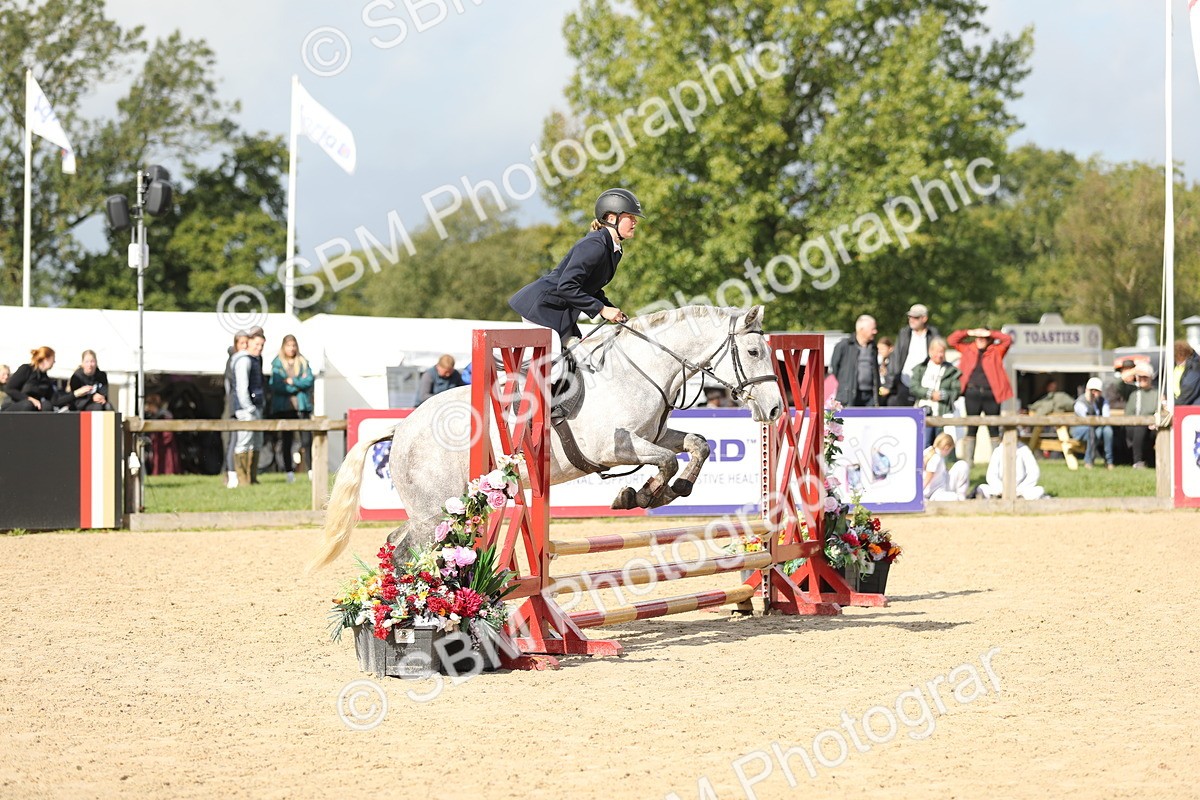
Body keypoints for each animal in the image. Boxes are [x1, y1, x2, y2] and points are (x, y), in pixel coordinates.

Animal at [308, 305, 784, 571]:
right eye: (754, 351)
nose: (776, 410)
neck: (641, 369)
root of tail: (402, 427)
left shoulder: (657, 433)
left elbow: (697, 445)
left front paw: (672, 490)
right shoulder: (614, 447)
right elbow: (663, 462)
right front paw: (639, 495)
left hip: (443, 507)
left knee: (398, 543)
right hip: (435, 511)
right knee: (410, 550)